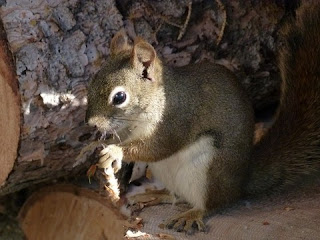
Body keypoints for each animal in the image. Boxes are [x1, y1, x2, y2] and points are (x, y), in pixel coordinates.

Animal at [84, 2, 320, 233]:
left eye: (119, 97)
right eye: (92, 82)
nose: (91, 123)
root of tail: (240, 182)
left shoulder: (176, 120)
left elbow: (158, 147)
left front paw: (115, 151)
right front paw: (93, 146)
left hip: (210, 170)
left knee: (212, 204)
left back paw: (191, 215)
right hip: (166, 171)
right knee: (176, 196)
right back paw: (153, 195)